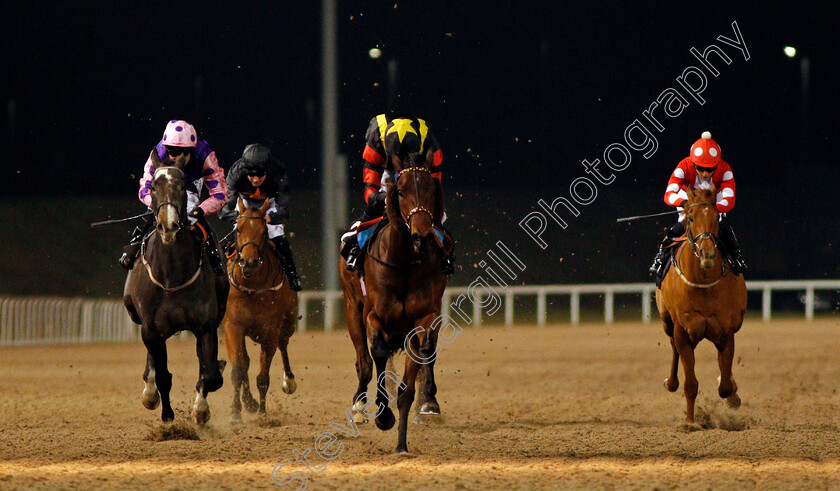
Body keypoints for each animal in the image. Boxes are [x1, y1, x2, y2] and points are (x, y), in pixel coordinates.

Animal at [121, 152, 226, 424]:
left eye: (182, 185)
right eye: (153, 187)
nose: (168, 225)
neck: (171, 276)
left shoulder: (206, 326)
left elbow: (210, 374)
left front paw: (201, 408)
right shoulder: (150, 328)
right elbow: (162, 375)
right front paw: (166, 414)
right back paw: (149, 392)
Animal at [223, 196, 298, 422]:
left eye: (264, 231)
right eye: (238, 228)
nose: (249, 262)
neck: (252, 288)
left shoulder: (270, 331)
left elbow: (263, 377)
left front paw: (263, 414)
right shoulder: (233, 326)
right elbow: (239, 369)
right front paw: (235, 412)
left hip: (288, 323)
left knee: (284, 344)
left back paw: (289, 381)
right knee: (244, 362)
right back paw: (248, 402)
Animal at [340, 149, 450, 454]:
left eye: (431, 188)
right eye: (400, 191)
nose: (421, 234)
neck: (402, 263)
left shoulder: (426, 317)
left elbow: (420, 361)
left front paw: (402, 442)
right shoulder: (373, 315)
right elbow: (377, 352)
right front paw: (383, 414)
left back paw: (428, 402)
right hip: (352, 308)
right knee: (364, 362)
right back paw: (359, 405)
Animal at [656, 186, 748, 424]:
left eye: (716, 218)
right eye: (690, 217)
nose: (707, 253)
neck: (704, 283)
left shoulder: (726, 331)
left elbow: (725, 385)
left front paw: (733, 396)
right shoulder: (682, 330)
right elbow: (691, 384)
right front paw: (690, 422)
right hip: (667, 322)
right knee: (673, 347)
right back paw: (671, 382)